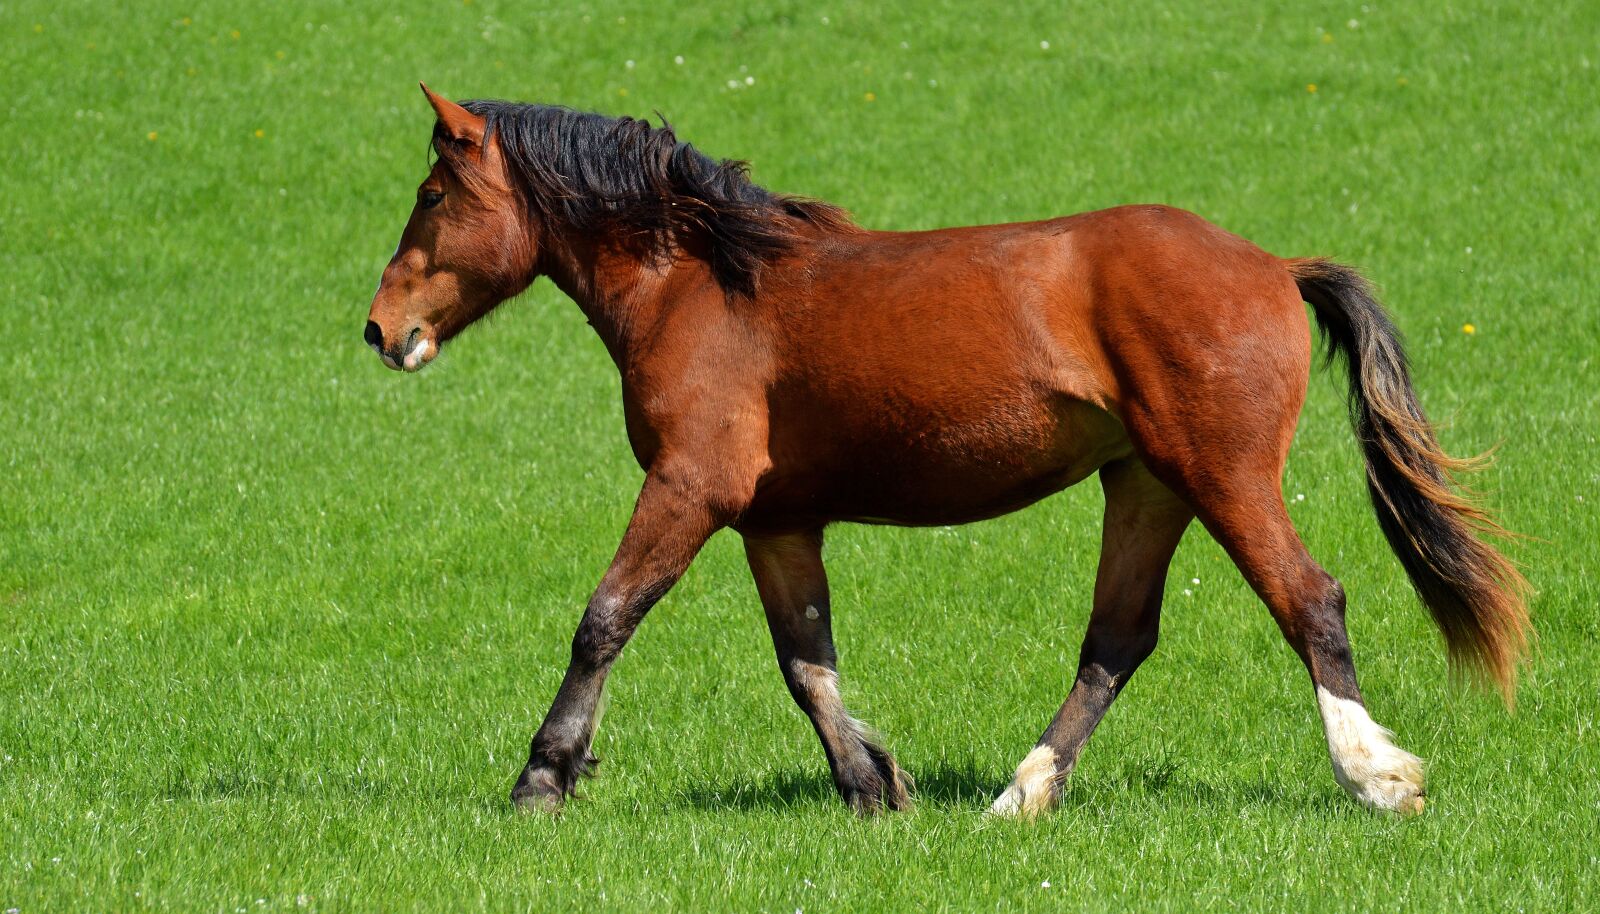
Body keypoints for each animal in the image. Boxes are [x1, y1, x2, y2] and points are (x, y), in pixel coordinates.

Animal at [363, 85, 1529, 817]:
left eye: (432, 195)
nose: (380, 330)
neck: (702, 283)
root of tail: (1273, 265)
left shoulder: (690, 488)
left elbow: (603, 619)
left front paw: (543, 777)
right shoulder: (776, 521)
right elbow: (807, 663)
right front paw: (872, 784)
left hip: (1223, 477)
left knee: (1309, 600)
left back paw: (1375, 776)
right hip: (1146, 486)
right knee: (1115, 641)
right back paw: (1019, 795)